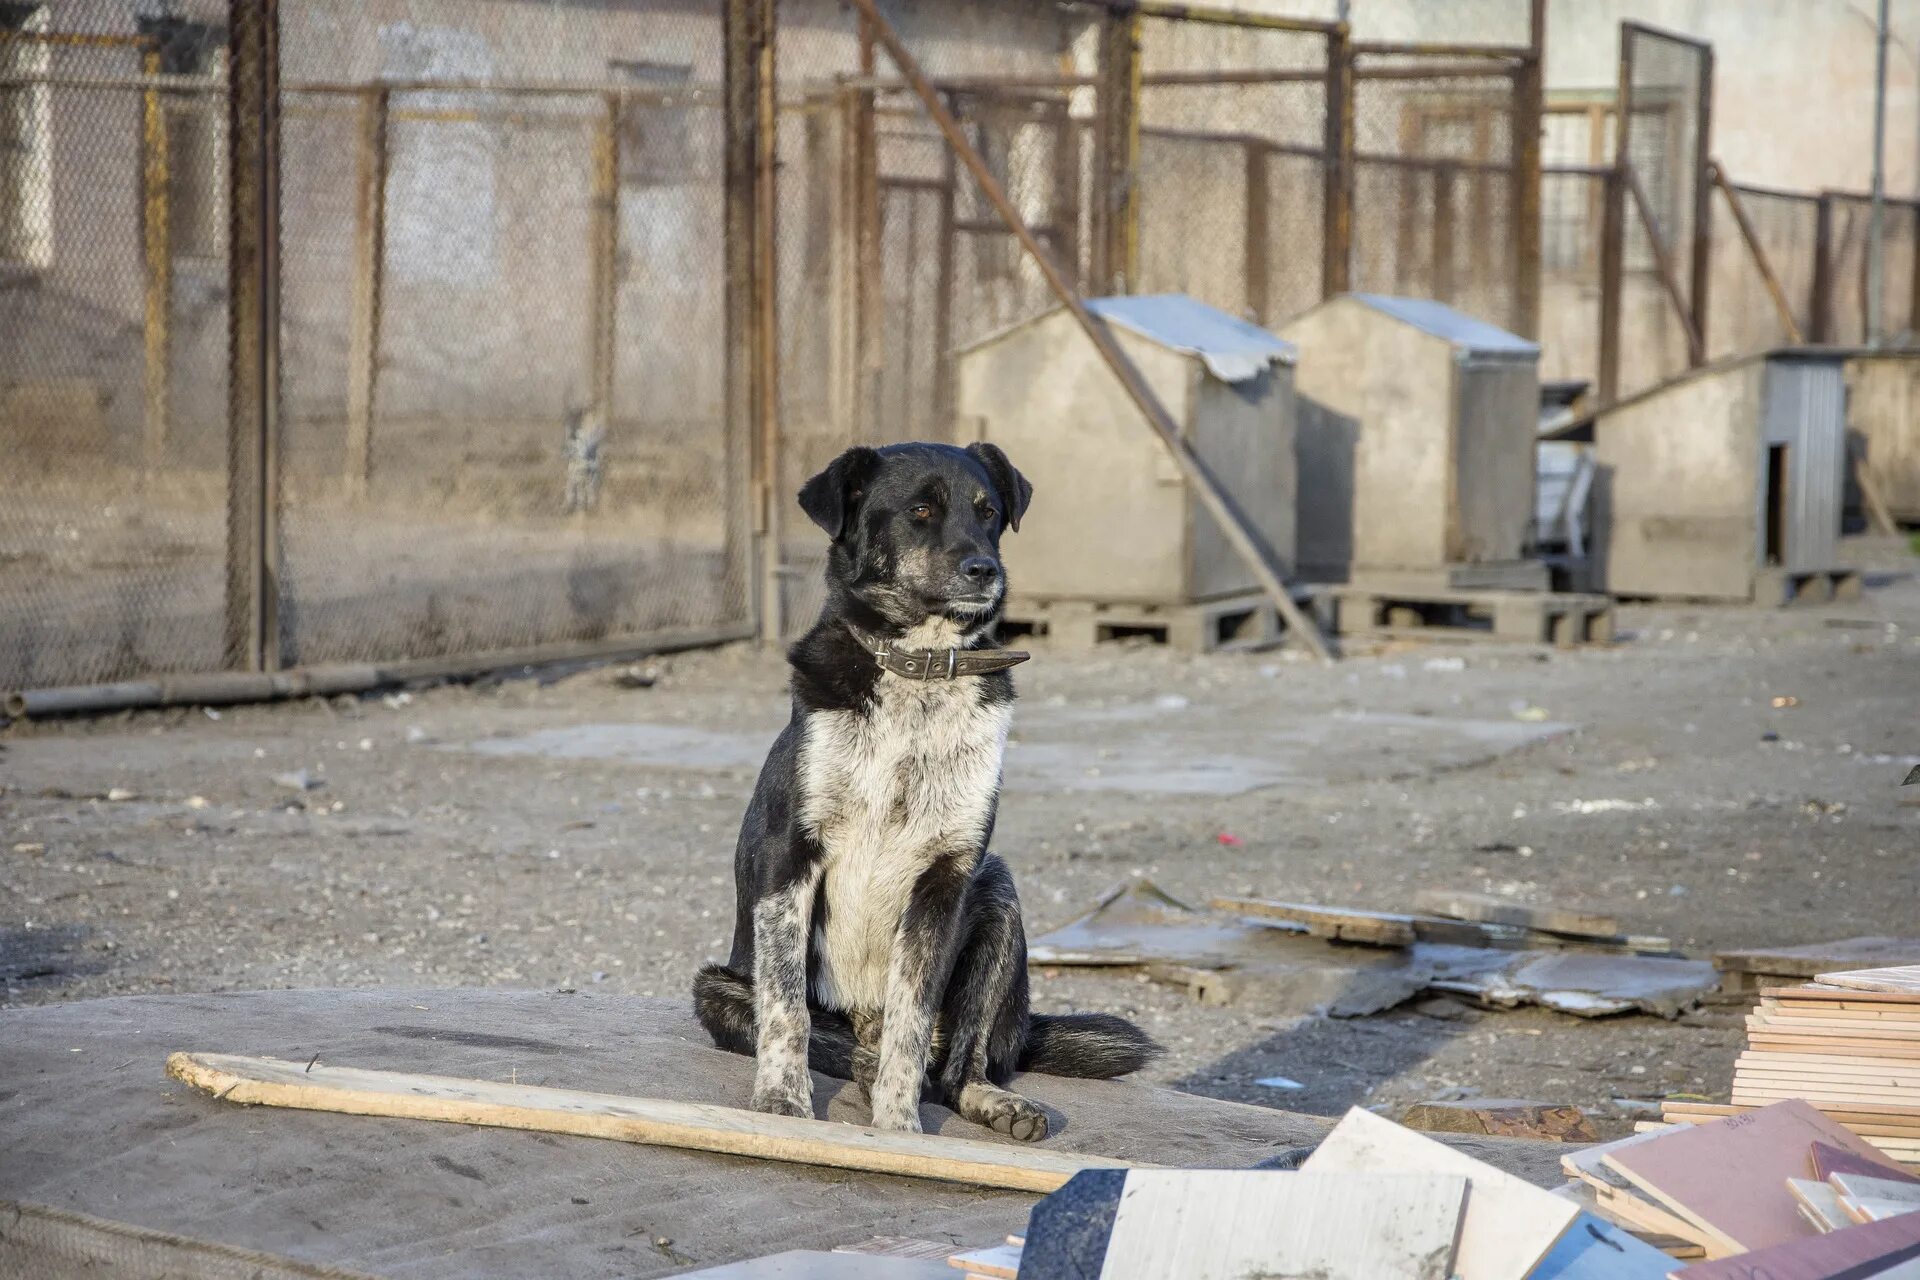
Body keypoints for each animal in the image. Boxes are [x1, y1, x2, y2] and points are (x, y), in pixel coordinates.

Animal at [698, 443, 1159, 1143]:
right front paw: (782, 1104)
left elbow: (910, 1028)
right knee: (824, 1036)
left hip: (998, 902)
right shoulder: (789, 860)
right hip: (717, 987)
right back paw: (857, 1067)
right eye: (919, 511)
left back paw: (990, 1099)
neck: (922, 671)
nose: (985, 570)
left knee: (954, 1065)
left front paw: (898, 1131)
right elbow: (786, 1010)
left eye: (988, 511)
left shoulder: (944, 878)